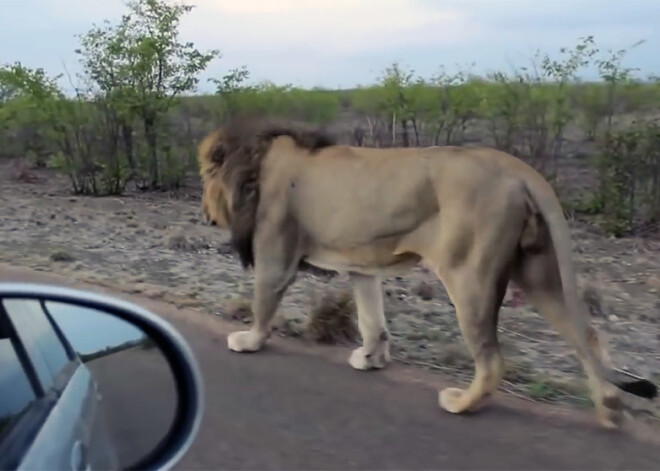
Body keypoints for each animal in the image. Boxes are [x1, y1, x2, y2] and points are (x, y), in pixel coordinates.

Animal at [199, 116, 656, 430]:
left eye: (205, 179)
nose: (205, 214)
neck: (256, 164)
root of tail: (514, 167)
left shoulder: (276, 251)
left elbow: (263, 301)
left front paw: (249, 341)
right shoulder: (362, 264)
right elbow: (371, 319)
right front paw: (371, 358)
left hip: (468, 275)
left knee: (492, 359)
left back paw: (461, 403)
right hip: (538, 272)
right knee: (586, 337)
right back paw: (611, 410)